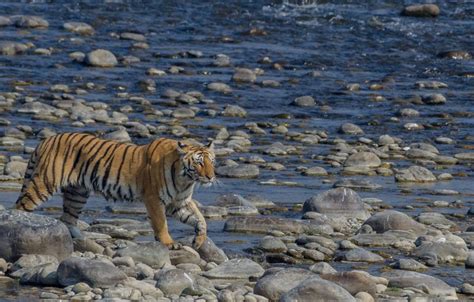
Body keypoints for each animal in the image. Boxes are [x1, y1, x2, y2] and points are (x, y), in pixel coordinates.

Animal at [13, 133, 216, 249]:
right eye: (199, 162)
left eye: (211, 161)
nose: (211, 177)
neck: (185, 179)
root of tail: (47, 139)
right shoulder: (154, 199)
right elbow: (161, 223)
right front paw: (168, 243)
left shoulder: (179, 202)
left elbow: (201, 219)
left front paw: (199, 241)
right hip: (44, 183)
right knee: (20, 207)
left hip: (77, 193)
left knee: (67, 218)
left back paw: (85, 241)